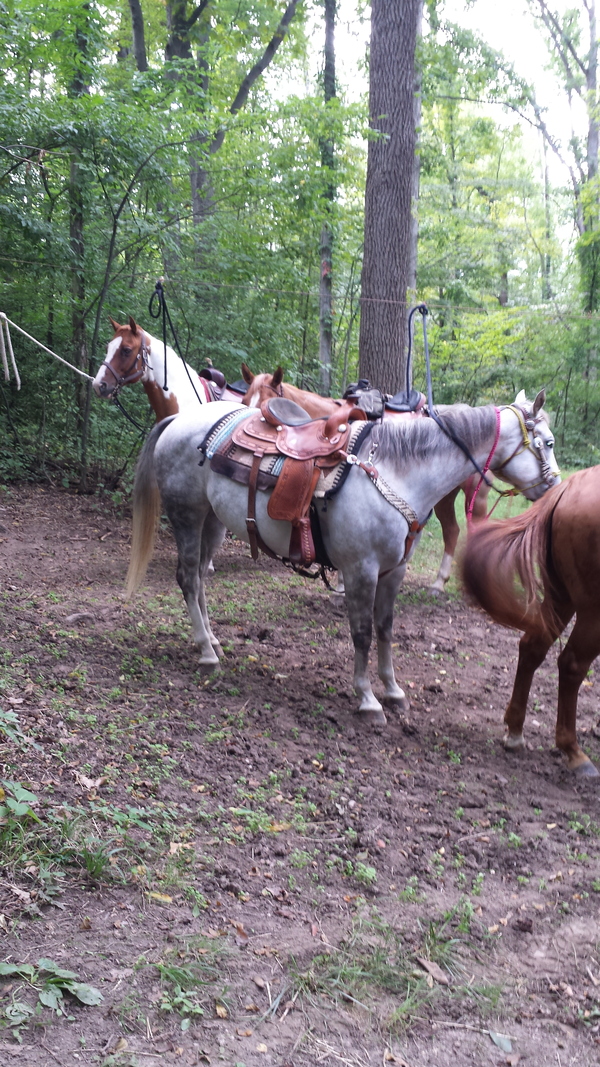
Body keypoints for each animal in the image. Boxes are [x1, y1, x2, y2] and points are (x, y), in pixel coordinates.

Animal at [125, 391, 559, 725]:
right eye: (549, 442)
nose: (556, 487)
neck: (397, 472)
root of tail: (180, 419)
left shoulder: (394, 571)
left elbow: (385, 629)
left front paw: (393, 690)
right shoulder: (361, 570)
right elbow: (362, 633)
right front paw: (367, 700)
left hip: (212, 521)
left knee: (200, 577)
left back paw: (212, 640)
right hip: (186, 515)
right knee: (187, 577)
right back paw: (205, 651)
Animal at [240, 364, 492, 593]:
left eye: (266, 403)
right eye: (245, 399)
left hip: (473, 496)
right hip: (444, 496)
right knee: (452, 530)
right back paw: (439, 582)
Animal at [461, 466, 600, 777]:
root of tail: (567, 489)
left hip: (562, 596)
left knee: (532, 648)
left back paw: (515, 731)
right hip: (591, 611)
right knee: (571, 664)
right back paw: (573, 751)